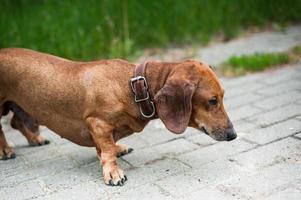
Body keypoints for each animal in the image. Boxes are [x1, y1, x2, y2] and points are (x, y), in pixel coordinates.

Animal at [0, 48, 234, 186]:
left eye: (223, 95)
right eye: (213, 100)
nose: (233, 135)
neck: (132, 86)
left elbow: (106, 147)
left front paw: (116, 150)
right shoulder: (97, 123)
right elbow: (106, 150)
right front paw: (113, 172)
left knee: (16, 121)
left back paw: (35, 139)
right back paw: (5, 150)